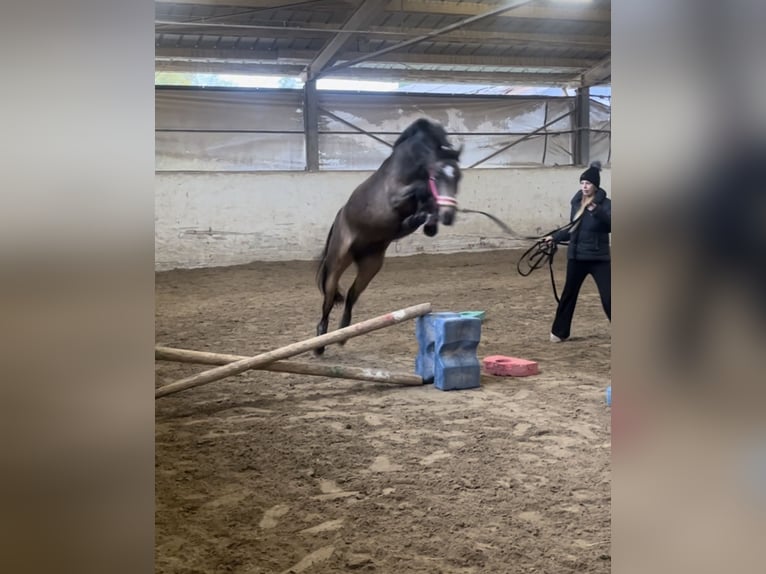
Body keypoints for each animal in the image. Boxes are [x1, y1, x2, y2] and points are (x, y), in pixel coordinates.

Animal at [316, 118, 464, 356]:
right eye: (437, 175)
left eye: (458, 177)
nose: (449, 216)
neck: (409, 167)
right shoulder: (395, 198)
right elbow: (421, 190)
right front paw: (419, 214)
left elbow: (427, 208)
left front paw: (426, 220)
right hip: (338, 261)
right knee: (328, 300)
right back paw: (320, 342)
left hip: (371, 265)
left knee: (351, 295)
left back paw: (343, 334)